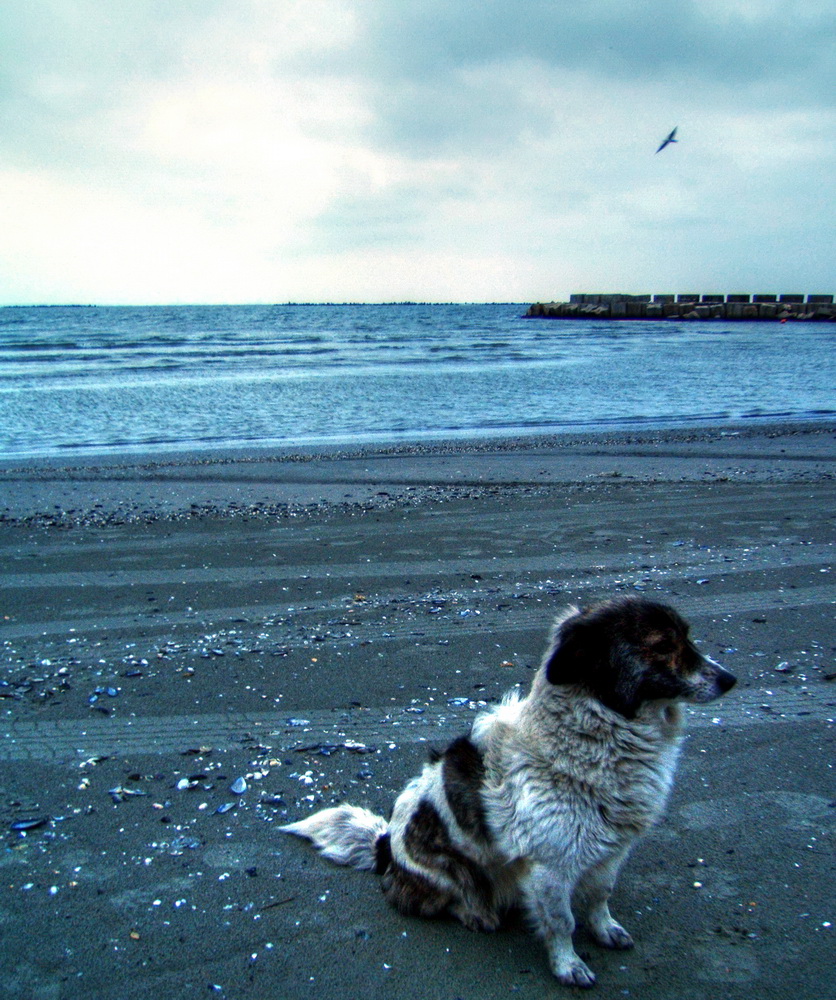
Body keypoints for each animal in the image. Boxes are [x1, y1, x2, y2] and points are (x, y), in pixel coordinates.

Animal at [282, 596, 740, 988]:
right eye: (663, 646)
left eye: (687, 637)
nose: (730, 679)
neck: (593, 736)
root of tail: (385, 844)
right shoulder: (550, 867)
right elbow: (562, 922)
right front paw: (567, 965)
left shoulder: (612, 850)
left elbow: (599, 898)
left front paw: (605, 929)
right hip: (453, 874)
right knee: (447, 898)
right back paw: (476, 913)